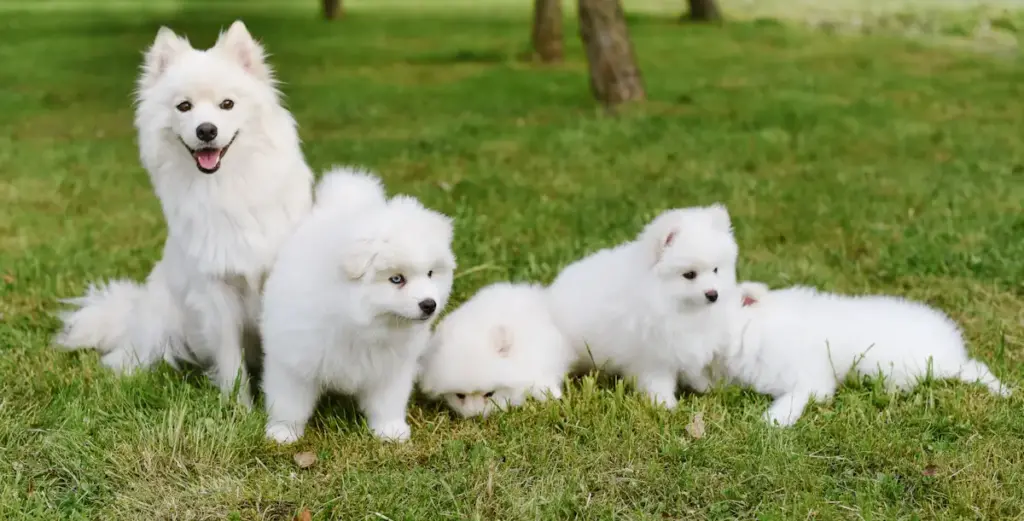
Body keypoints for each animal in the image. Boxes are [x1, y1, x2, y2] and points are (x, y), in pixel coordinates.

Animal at [55, 20, 311, 405]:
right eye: (184, 106)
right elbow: (231, 360)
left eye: (227, 104)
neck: (226, 187)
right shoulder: (216, 291)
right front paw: (239, 408)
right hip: (162, 321)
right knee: (136, 352)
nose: (206, 130)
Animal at [260, 167, 456, 442]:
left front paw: (390, 430)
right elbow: (290, 402)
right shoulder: (295, 358)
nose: (429, 304)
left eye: (430, 274)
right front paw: (283, 432)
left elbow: (387, 401)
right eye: (397, 279)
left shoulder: (390, 367)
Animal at [548, 202, 741, 405]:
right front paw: (665, 404)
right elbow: (658, 381)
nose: (713, 294)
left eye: (716, 270)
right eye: (689, 275)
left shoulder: (687, 345)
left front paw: (707, 387)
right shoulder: (653, 356)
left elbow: (694, 371)